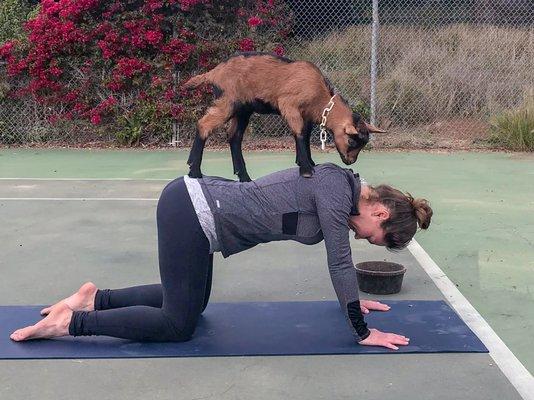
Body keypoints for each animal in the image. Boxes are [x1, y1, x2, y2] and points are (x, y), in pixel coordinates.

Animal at [184, 51, 386, 181]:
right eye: (352, 140)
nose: (350, 161)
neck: (320, 95)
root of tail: (214, 72)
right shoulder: (289, 105)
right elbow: (299, 132)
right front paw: (306, 170)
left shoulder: (306, 115)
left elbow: (304, 135)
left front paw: (310, 163)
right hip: (228, 101)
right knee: (204, 124)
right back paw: (194, 171)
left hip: (243, 110)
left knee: (234, 136)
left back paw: (244, 176)